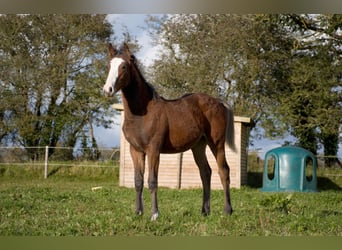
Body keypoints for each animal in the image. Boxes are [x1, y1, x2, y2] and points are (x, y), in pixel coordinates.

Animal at [103, 43, 236, 221]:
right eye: (109, 65)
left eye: (123, 66)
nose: (107, 90)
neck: (142, 113)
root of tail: (219, 102)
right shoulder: (135, 150)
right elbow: (138, 181)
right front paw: (138, 212)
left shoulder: (153, 150)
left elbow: (152, 181)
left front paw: (154, 215)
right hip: (198, 146)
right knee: (205, 172)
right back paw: (205, 211)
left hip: (217, 144)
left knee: (224, 171)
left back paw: (227, 210)